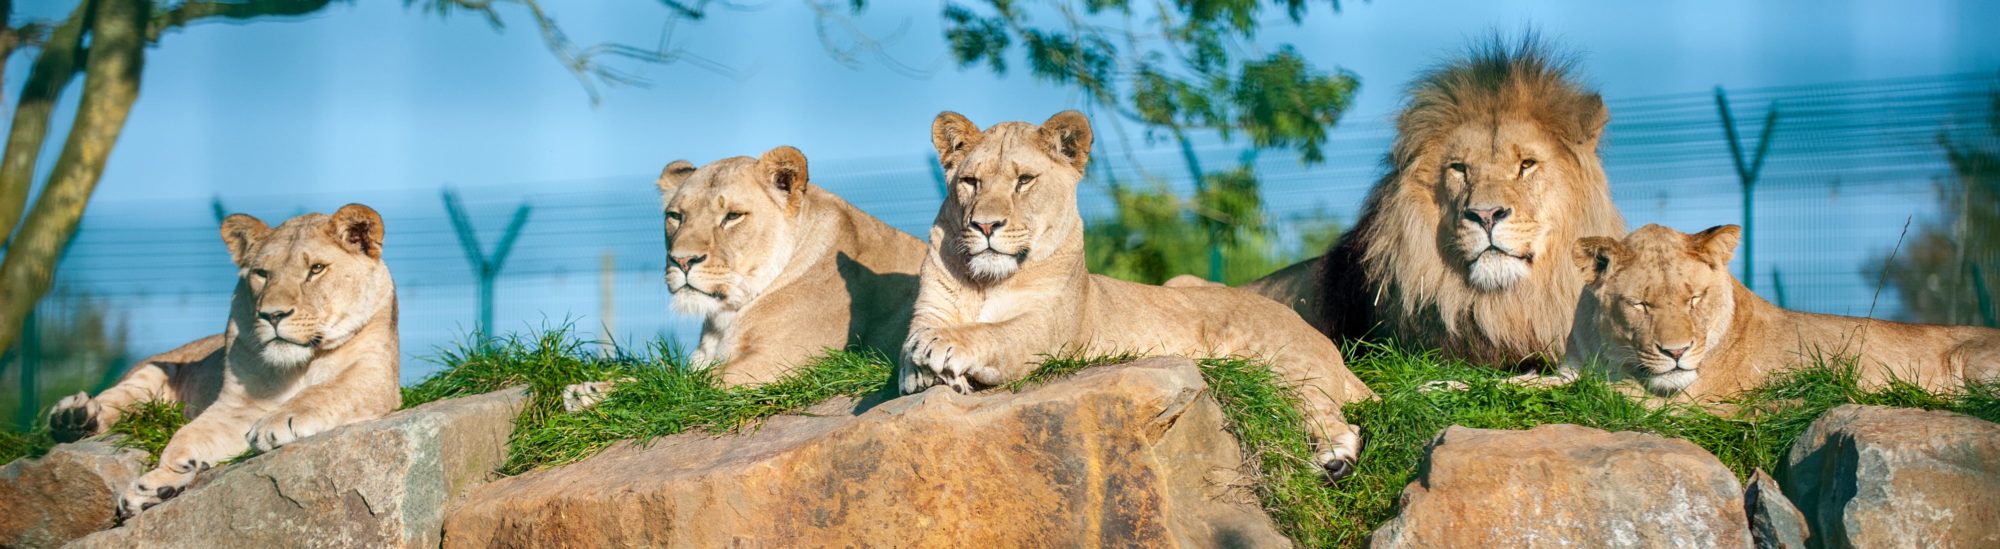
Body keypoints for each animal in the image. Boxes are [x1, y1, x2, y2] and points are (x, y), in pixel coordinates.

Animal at [47, 203, 404, 516]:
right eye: (262, 273)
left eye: (316, 269)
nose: (272, 315)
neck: (301, 362)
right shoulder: (238, 406)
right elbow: (185, 437)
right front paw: (157, 483)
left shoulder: (374, 376)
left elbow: (324, 391)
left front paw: (276, 422)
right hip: (152, 369)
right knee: (116, 399)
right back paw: (73, 416)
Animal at [560, 148, 924, 408]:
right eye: (675, 216)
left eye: (733, 216)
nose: (682, 260)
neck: (726, 315)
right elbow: (669, 374)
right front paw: (588, 391)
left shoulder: (787, 361)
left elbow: (683, 386)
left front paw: (600, 396)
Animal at [904, 109, 1376, 478]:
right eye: (970, 182)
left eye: (1024, 181)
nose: (985, 225)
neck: (987, 283)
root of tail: (1321, 340)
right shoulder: (929, 308)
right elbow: (913, 340)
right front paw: (923, 371)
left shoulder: (1049, 338)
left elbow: (992, 333)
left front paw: (939, 349)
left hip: (1285, 365)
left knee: (1337, 420)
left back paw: (1334, 462)